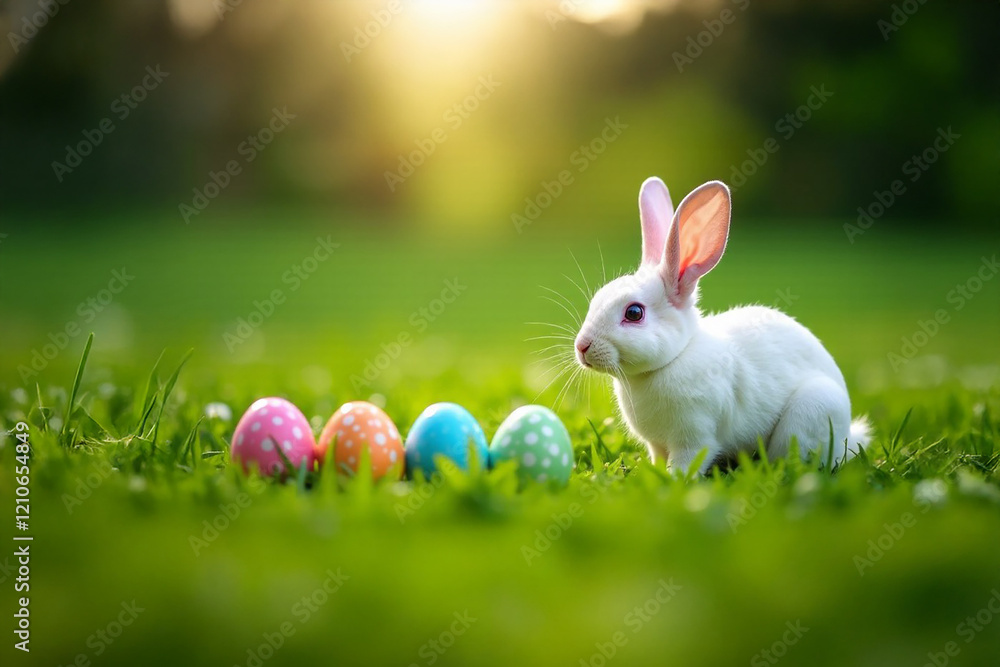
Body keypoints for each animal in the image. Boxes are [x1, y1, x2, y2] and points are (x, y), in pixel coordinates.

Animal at [573, 177, 871, 474]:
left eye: (634, 313)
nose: (582, 347)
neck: (672, 360)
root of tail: (848, 432)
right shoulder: (656, 445)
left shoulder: (694, 439)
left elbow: (685, 464)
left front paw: (672, 480)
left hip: (812, 410)